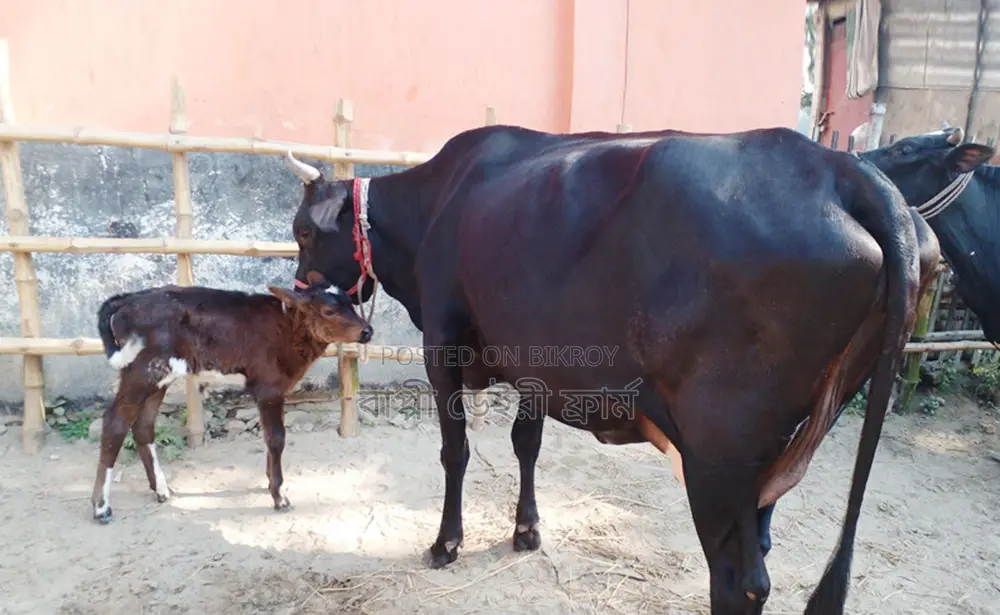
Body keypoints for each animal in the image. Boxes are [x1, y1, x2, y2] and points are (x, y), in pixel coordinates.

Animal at [282, 124, 940, 614]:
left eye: (305, 231)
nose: (298, 293)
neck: (438, 203)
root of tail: (842, 170)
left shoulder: (441, 342)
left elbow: (456, 450)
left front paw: (447, 542)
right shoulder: (536, 360)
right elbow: (526, 442)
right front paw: (526, 530)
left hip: (719, 455)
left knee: (740, 581)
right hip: (781, 450)